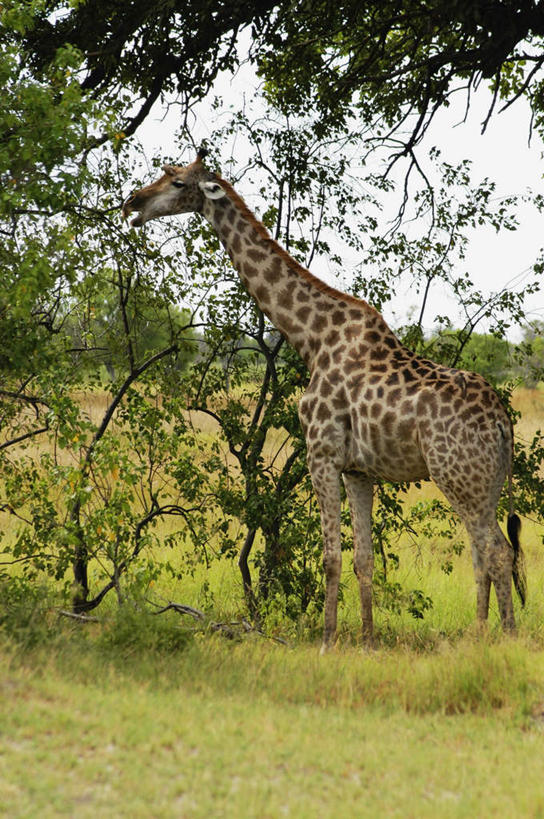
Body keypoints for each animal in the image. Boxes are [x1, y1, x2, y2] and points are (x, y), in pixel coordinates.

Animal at [124, 146, 528, 648]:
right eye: (165, 174)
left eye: (178, 182)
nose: (133, 202)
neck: (311, 338)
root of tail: (503, 421)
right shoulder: (359, 469)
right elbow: (364, 559)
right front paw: (369, 641)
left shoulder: (321, 453)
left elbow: (330, 557)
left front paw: (327, 640)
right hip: (485, 482)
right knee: (485, 552)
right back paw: (480, 634)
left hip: (458, 475)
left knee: (496, 551)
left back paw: (501, 639)